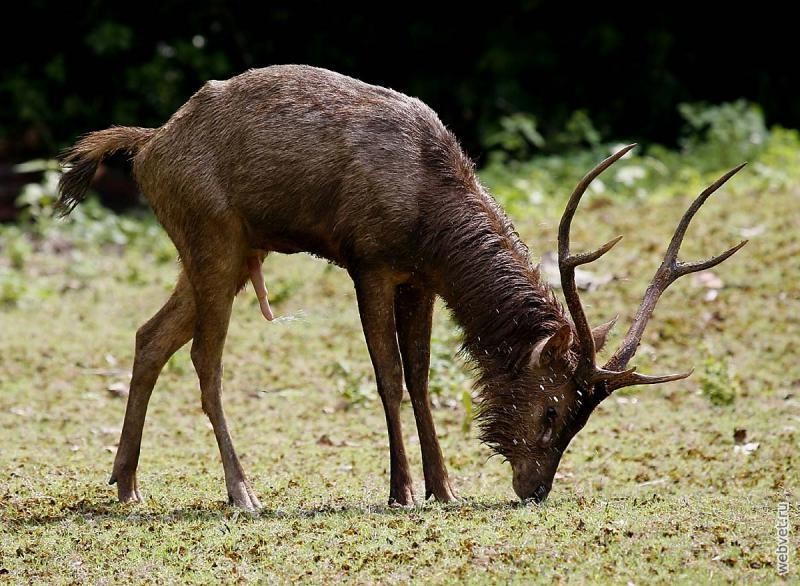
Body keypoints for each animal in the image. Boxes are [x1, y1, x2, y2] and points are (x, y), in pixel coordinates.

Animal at [54, 65, 744, 512]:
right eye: (553, 410)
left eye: (581, 421)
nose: (535, 489)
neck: (429, 222)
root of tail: (147, 147)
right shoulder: (370, 261)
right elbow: (386, 375)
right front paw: (403, 489)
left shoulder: (422, 281)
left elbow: (420, 374)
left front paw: (445, 486)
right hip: (213, 237)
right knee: (204, 357)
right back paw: (241, 491)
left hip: (231, 248)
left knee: (150, 335)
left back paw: (126, 483)